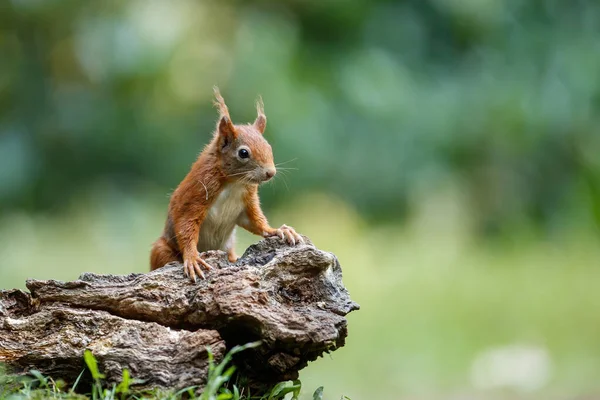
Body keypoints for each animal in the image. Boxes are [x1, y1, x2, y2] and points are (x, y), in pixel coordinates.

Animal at [149, 87, 300, 282]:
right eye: (243, 153)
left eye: (269, 147)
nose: (270, 173)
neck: (234, 183)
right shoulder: (196, 192)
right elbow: (185, 224)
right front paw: (192, 258)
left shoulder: (247, 202)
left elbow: (256, 221)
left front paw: (277, 230)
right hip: (162, 249)